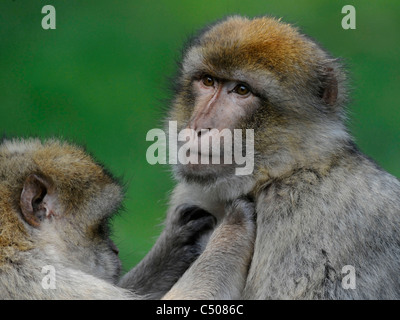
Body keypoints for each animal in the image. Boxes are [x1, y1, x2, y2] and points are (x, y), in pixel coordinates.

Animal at [0, 138, 255, 300]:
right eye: (102, 227)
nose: (115, 250)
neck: (16, 241)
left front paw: (173, 247)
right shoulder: (39, 281)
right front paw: (234, 225)